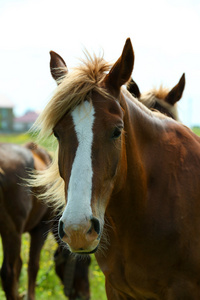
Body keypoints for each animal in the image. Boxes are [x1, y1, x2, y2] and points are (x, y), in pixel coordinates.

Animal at [0, 142, 90, 300]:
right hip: (11, 232)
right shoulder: (40, 228)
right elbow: (33, 266)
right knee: (8, 273)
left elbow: (20, 265)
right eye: (87, 263)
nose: (85, 295)